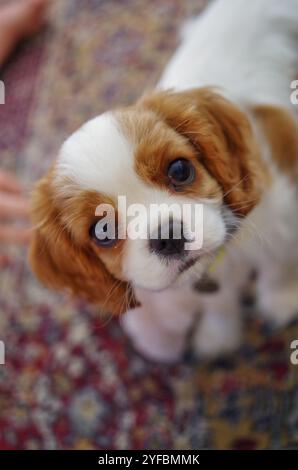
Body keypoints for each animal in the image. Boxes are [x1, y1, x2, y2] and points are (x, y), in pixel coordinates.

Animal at [29, 0, 298, 364]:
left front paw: (282, 301)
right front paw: (219, 334)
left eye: (180, 170)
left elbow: (278, 264)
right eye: (102, 231)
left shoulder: (282, 212)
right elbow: (218, 302)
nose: (169, 237)